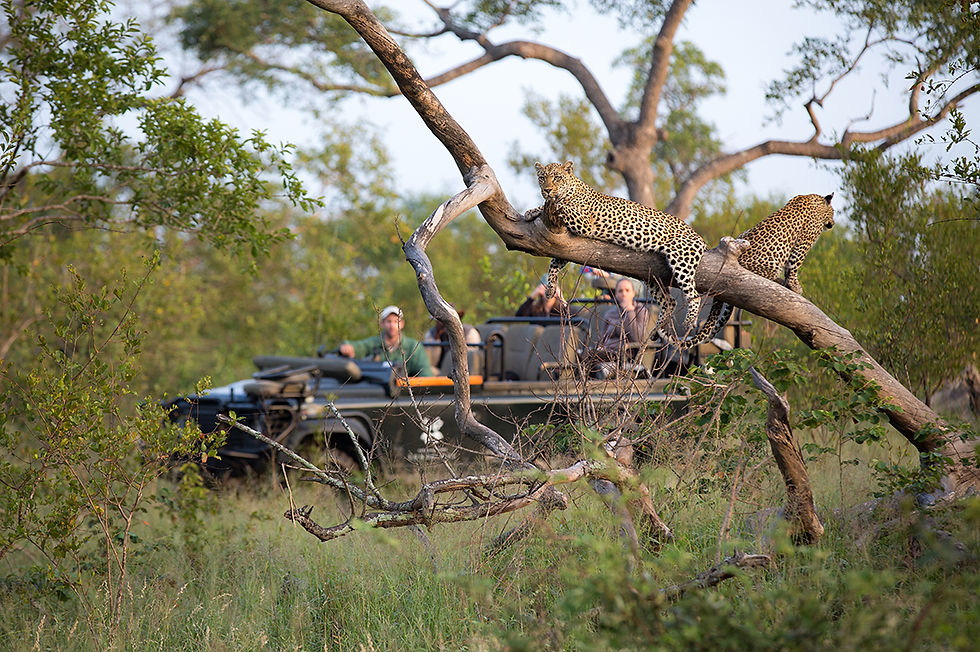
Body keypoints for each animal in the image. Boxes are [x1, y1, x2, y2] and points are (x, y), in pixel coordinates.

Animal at [524, 160, 710, 342]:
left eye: (557, 178)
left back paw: (688, 322)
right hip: (653, 277)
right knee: (670, 302)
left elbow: (561, 205)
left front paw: (539, 207)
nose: (547, 190)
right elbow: (554, 263)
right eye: (542, 178)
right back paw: (657, 330)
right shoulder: (565, 243)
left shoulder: (584, 224)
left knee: (694, 294)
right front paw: (550, 288)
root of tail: (700, 237)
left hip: (681, 258)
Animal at [688, 192, 836, 344]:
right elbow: (794, 266)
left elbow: (789, 269)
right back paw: (778, 281)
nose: (833, 223)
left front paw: (791, 284)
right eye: (834, 212)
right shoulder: (803, 243)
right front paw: (795, 286)